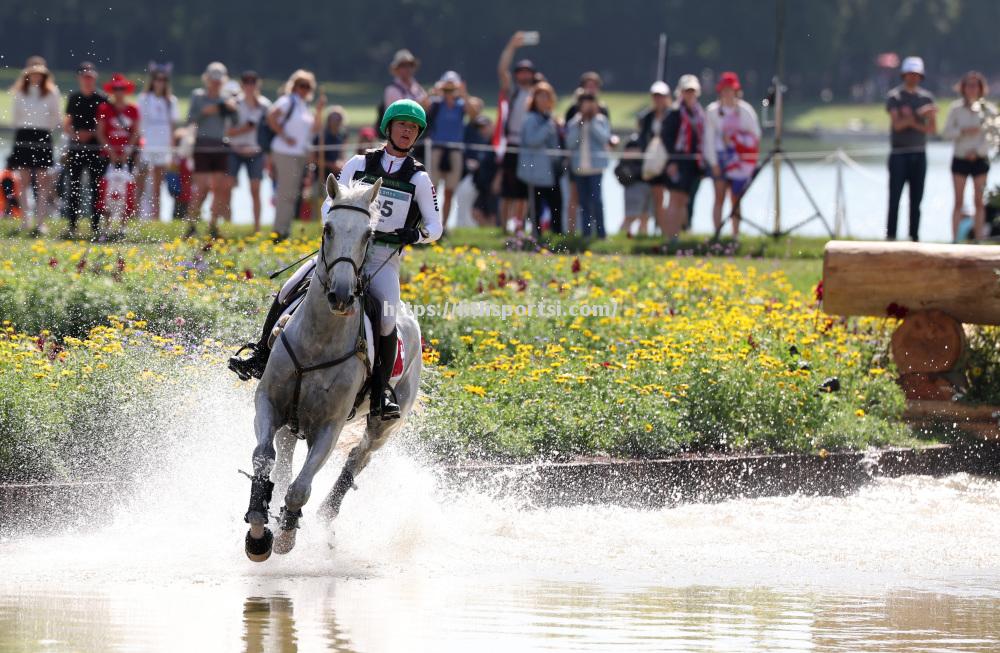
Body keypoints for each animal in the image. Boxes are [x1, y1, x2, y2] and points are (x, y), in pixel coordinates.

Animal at [247, 173, 426, 560]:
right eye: (327, 228)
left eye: (368, 234)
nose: (341, 296)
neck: (318, 340)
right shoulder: (270, 404)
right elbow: (263, 458)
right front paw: (257, 527)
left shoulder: (329, 427)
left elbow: (300, 487)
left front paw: (284, 535)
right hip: (294, 421)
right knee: (286, 458)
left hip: (384, 424)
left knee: (358, 458)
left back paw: (326, 515)